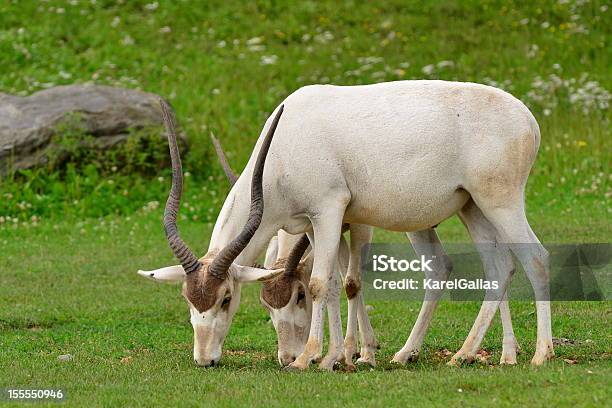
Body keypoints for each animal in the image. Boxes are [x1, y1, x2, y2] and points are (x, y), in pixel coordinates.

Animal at [139, 80, 556, 370]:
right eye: (188, 299)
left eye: (226, 298)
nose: (204, 359)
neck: (286, 141)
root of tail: (529, 120)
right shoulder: (313, 223)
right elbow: (334, 283)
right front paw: (335, 357)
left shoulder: (330, 209)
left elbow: (323, 282)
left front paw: (311, 358)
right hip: (472, 206)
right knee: (495, 267)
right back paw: (458, 354)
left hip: (499, 200)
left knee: (536, 258)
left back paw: (540, 355)